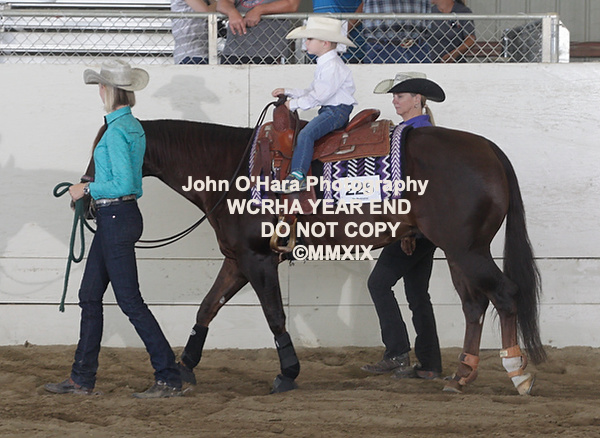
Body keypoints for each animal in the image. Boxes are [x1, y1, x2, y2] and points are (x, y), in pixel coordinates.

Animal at [81, 116, 545, 395]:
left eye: (101, 152)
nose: (85, 198)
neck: (232, 168)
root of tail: (489, 150)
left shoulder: (257, 260)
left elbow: (274, 316)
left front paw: (287, 373)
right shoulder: (236, 259)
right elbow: (206, 309)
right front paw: (184, 368)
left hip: (467, 250)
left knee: (504, 295)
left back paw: (517, 373)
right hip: (457, 252)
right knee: (474, 305)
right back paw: (462, 374)